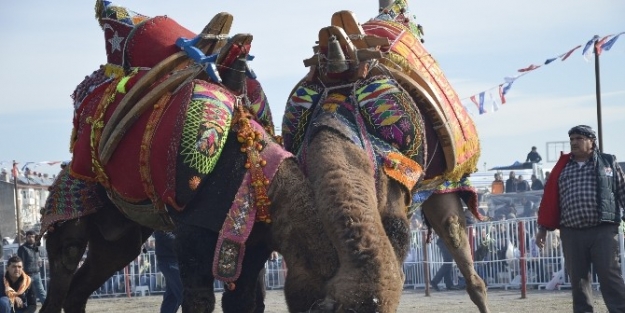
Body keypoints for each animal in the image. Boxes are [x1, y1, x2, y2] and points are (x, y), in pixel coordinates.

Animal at [37, 1, 336, 310]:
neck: (256, 169)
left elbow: (241, 300)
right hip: (74, 209)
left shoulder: (253, 245)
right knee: (66, 261)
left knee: (80, 289)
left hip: (118, 239)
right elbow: (199, 297)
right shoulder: (194, 231)